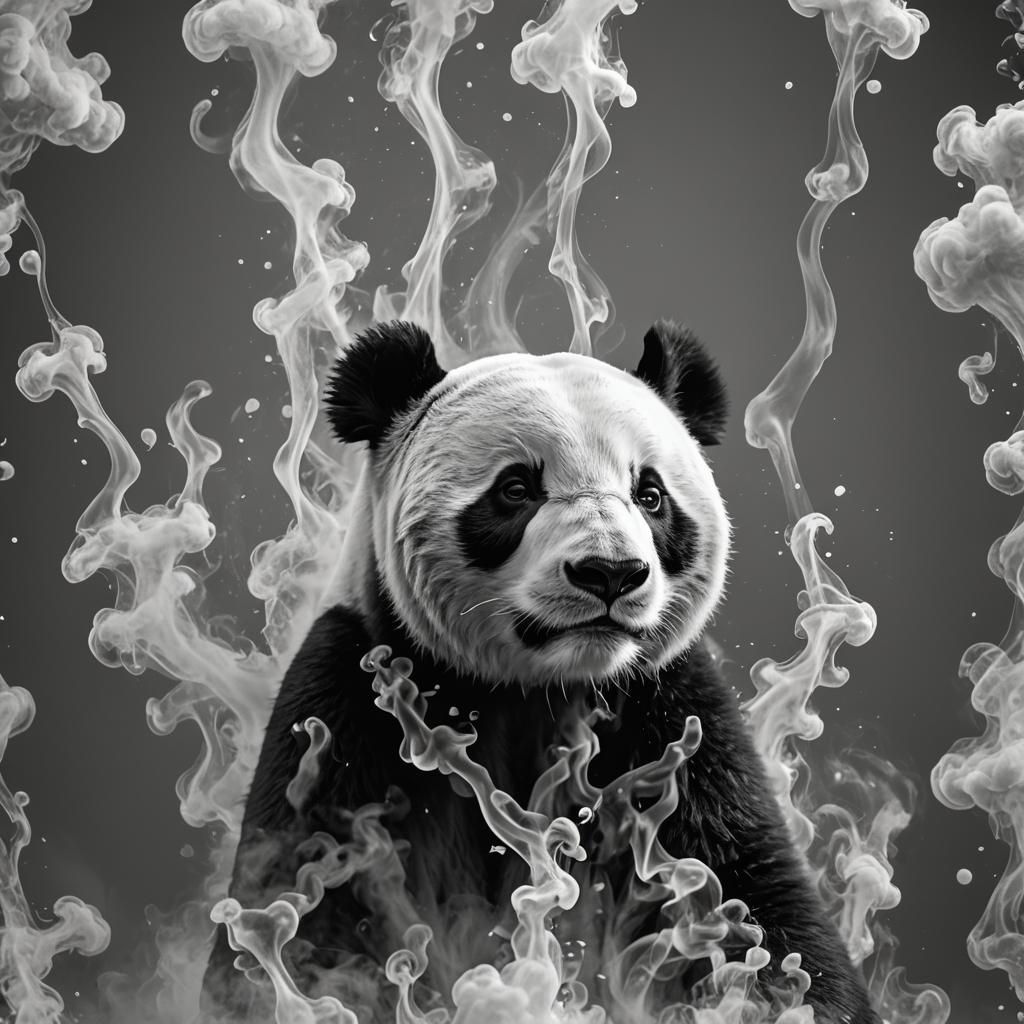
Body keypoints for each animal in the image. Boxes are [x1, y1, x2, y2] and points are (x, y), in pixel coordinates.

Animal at [202, 319, 879, 1024]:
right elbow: (310, 901)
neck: (533, 688)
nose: (610, 573)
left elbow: (748, 897)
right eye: (517, 489)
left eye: (650, 495)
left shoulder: (668, 715)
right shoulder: (353, 700)